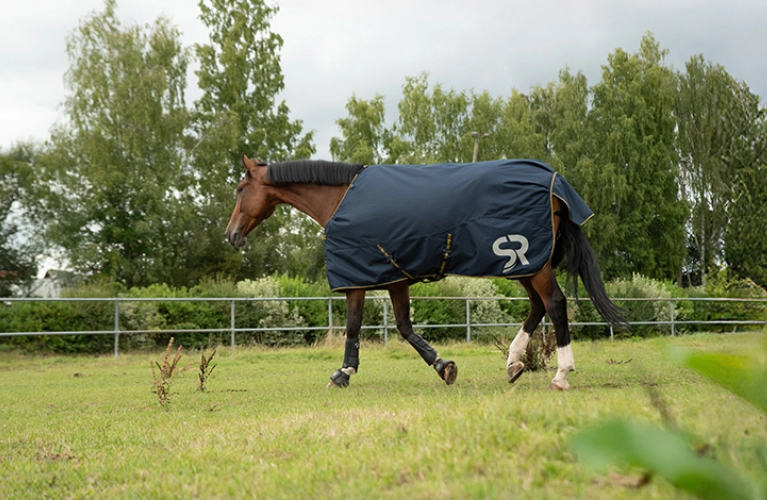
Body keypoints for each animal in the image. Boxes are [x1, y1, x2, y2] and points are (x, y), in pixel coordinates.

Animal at [226, 155, 625, 390]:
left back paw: (560, 374)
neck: (341, 199)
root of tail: (554, 182)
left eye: (241, 188)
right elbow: (404, 327)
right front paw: (442, 365)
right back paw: (514, 364)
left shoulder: (358, 279)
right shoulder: (394, 278)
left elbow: (355, 326)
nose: (231, 235)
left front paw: (343, 373)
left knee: (555, 304)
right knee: (537, 307)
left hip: (532, 262)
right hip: (525, 265)